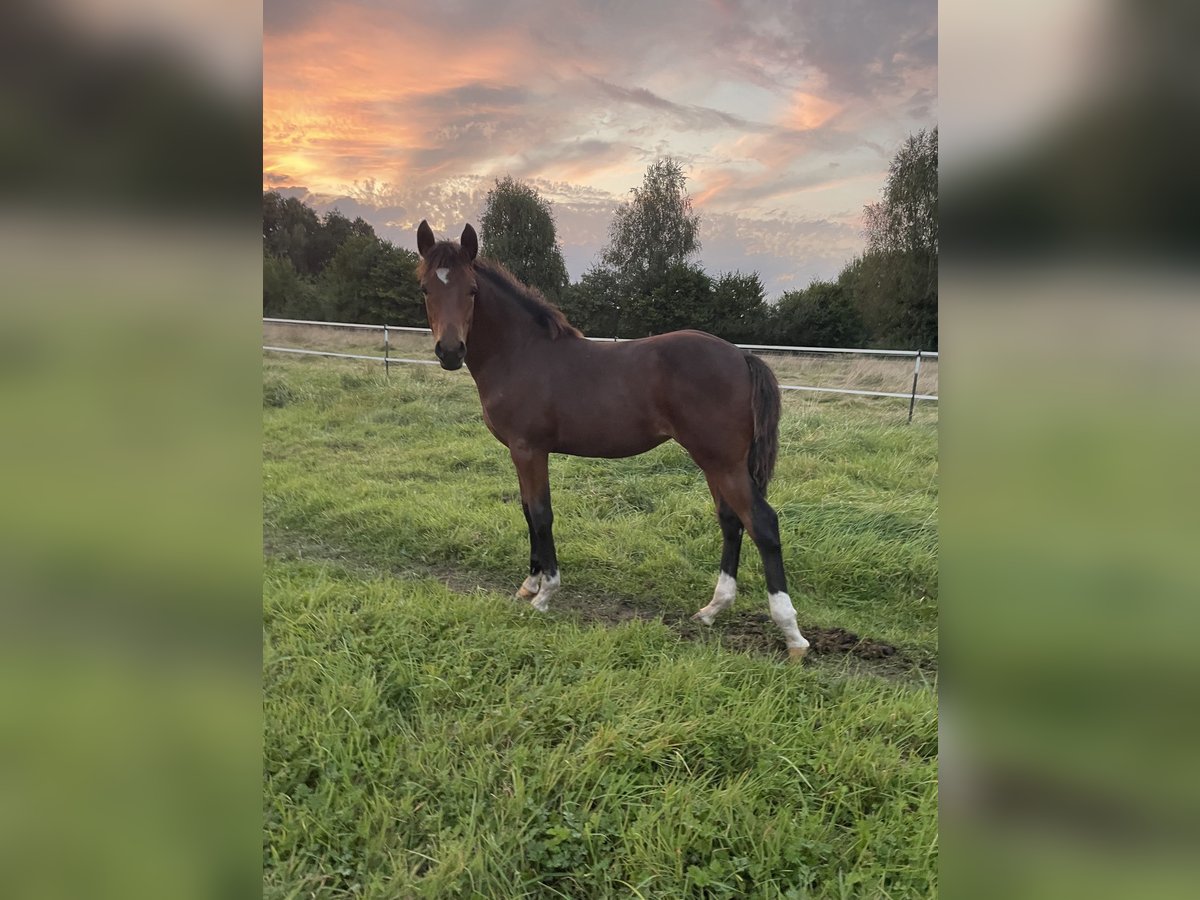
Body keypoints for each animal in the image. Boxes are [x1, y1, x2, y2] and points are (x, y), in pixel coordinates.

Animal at [417, 222, 811, 662]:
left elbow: (541, 514)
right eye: (425, 288)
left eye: (471, 290)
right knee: (731, 522)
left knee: (762, 523)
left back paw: (792, 634)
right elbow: (526, 512)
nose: (450, 351)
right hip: (715, 462)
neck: (520, 354)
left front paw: (545, 594)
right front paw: (529, 585)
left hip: (723, 462)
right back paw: (712, 610)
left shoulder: (529, 450)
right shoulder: (520, 453)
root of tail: (741, 357)